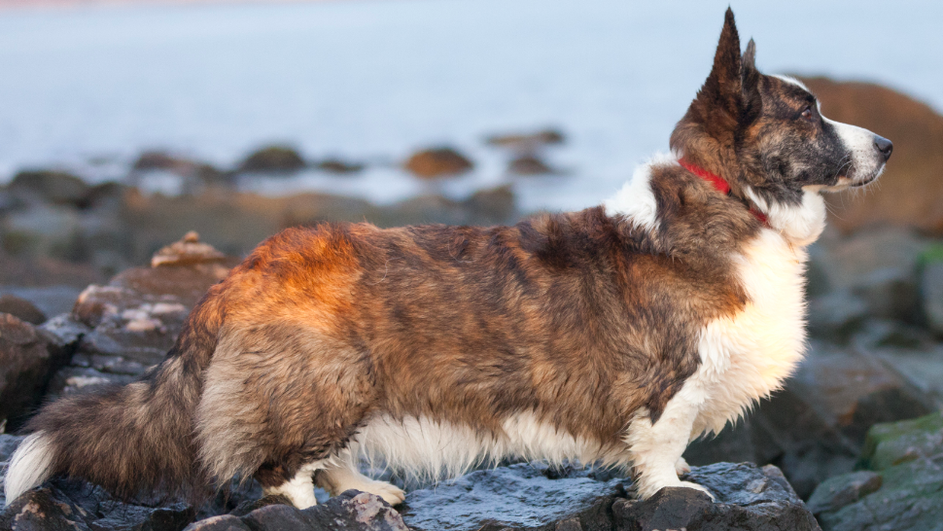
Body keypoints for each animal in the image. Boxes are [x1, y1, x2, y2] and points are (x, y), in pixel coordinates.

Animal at [5, 9, 892, 512]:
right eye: (806, 111)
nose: (886, 144)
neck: (728, 201)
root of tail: (242, 270)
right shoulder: (667, 382)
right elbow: (662, 446)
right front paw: (674, 491)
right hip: (328, 381)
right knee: (279, 468)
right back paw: (316, 506)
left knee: (328, 456)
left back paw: (365, 489)